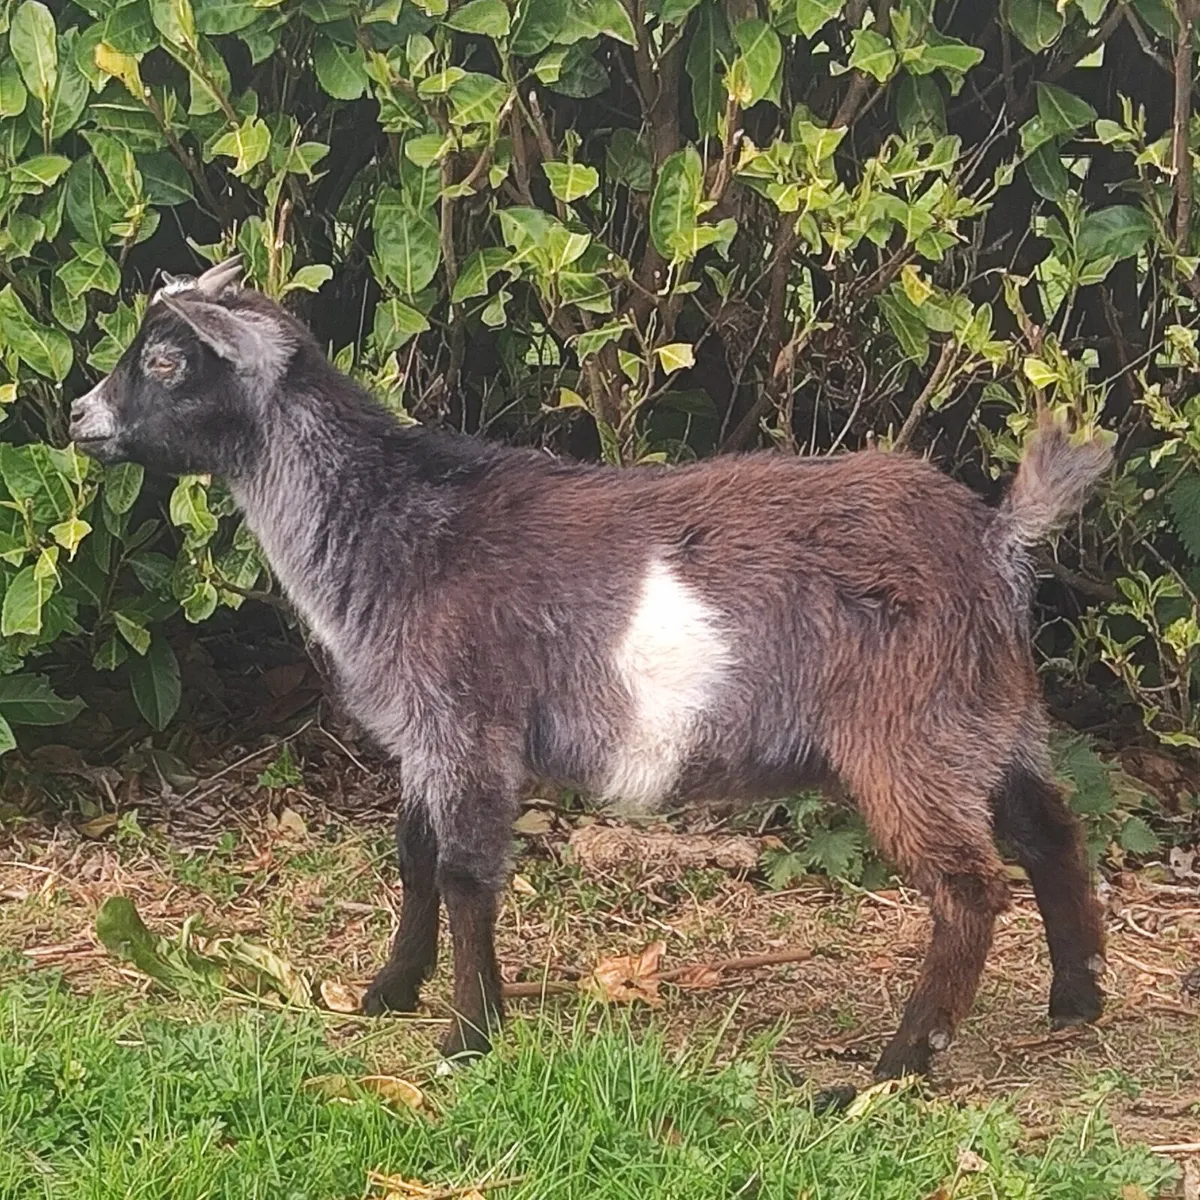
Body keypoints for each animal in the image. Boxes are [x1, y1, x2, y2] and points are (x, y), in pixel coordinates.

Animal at [70, 257, 1113, 1079]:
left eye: (164, 361)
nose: (78, 416)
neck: (395, 526)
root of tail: (996, 536)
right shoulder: (423, 737)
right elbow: (412, 859)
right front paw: (388, 993)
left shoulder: (470, 726)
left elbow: (465, 875)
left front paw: (469, 1036)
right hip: (990, 716)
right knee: (1050, 831)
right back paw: (1076, 999)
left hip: (908, 733)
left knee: (969, 886)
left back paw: (893, 1066)